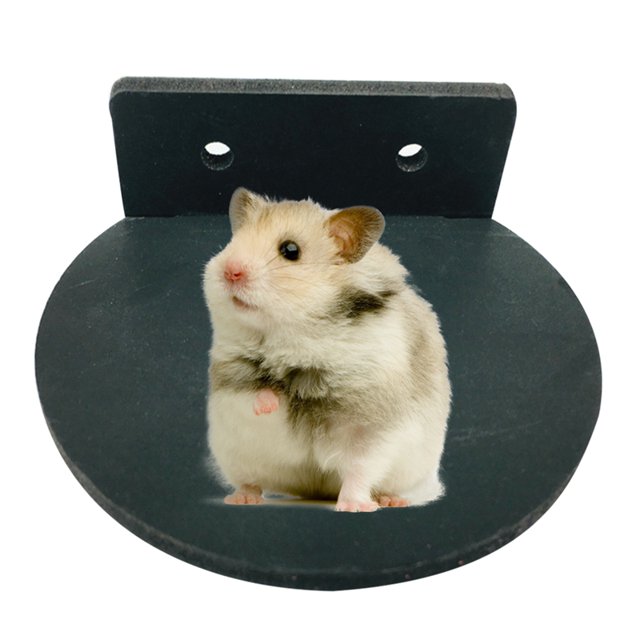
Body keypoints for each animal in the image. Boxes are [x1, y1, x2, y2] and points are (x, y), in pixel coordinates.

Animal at [202, 187, 451, 512]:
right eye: (234, 240)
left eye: (290, 250)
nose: (230, 271)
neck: (296, 335)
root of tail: (314, 489)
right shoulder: (230, 380)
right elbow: (253, 395)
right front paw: (270, 402)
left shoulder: (371, 425)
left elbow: (360, 469)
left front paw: (354, 506)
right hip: (234, 454)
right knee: (250, 479)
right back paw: (241, 498)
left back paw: (391, 500)